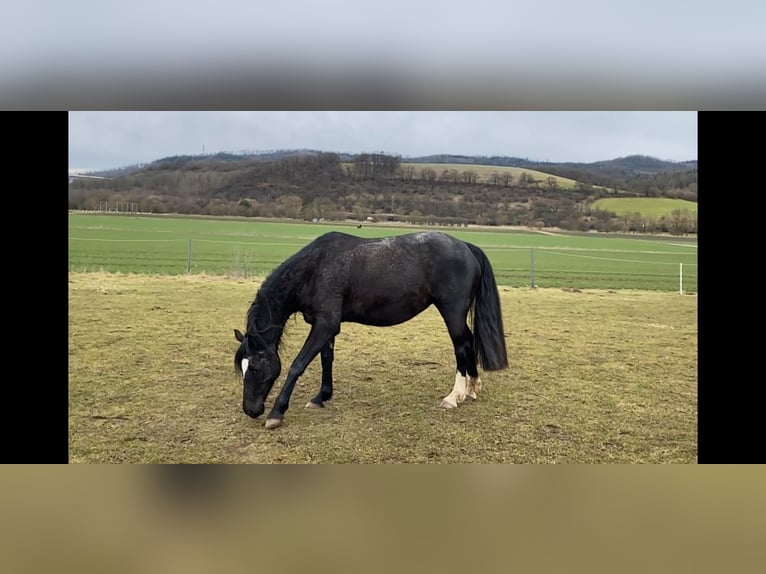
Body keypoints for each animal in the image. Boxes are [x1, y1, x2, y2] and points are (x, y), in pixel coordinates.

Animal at [234, 232, 510, 430]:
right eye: (243, 368)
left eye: (255, 368)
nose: (251, 410)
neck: (315, 269)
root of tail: (465, 246)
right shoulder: (325, 326)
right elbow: (326, 359)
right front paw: (321, 397)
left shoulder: (325, 325)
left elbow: (297, 365)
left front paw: (276, 413)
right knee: (469, 343)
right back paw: (471, 389)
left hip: (452, 313)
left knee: (461, 346)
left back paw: (454, 397)